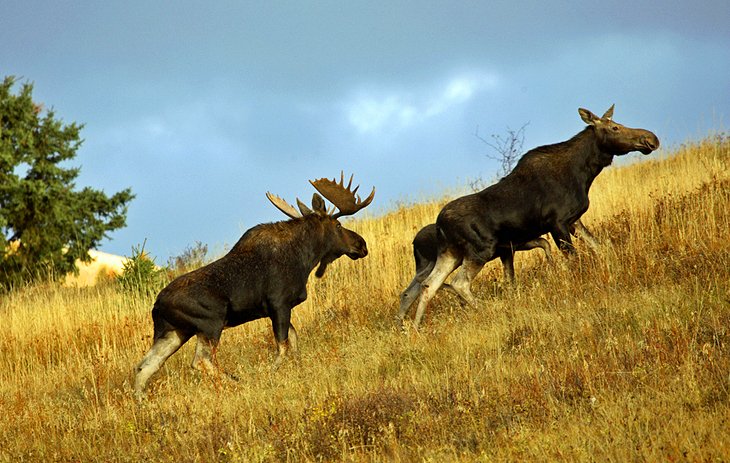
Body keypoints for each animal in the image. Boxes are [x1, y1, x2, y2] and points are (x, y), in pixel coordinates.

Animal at [135, 173, 376, 398]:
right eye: (338, 224)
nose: (361, 244)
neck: (305, 259)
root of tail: (157, 305)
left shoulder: (278, 308)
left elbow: (294, 342)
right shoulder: (278, 303)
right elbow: (283, 347)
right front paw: (271, 374)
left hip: (175, 331)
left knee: (145, 365)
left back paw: (141, 400)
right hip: (210, 323)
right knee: (200, 361)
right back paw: (236, 381)